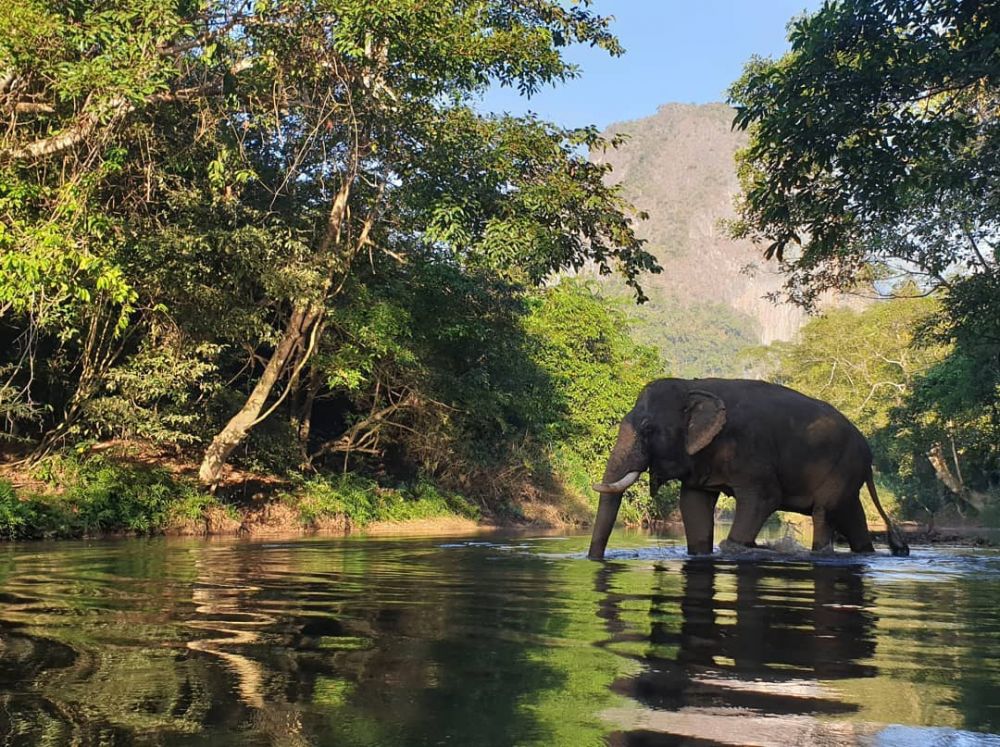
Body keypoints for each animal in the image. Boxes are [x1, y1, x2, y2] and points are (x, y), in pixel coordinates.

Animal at [588, 380, 912, 560]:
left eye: (647, 428)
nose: (594, 559)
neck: (694, 385)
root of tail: (868, 452)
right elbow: (693, 503)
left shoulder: (750, 448)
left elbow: (764, 498)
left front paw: (743, 547)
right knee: (850, 517)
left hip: (842, 468)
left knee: (824, 513)